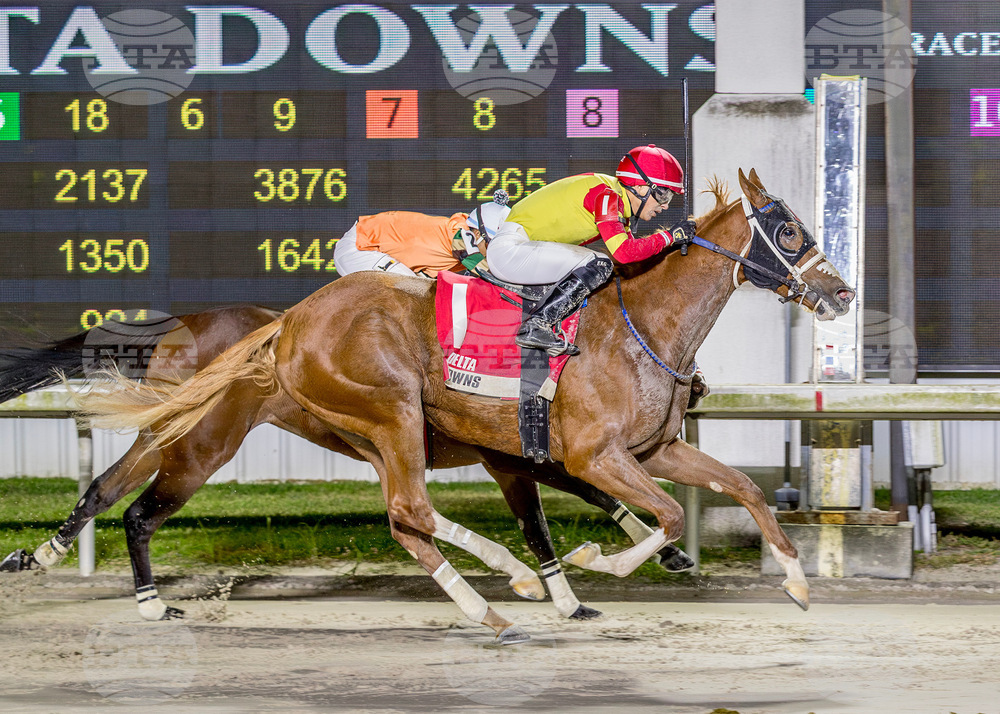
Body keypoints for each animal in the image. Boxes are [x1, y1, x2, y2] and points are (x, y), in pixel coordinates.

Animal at [0, 305, 694, 625]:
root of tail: (176, 328)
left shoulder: (518, 456)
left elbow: (584, 498)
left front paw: (655, 556)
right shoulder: (511, 457)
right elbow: (561, 509)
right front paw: (582, 583)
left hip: (166, 427)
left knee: (104, 488)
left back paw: (44, 556)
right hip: (203, 444)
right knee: (142, 510)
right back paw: (146, 601)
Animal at [81, 169, 856, 642]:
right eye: (790, 232)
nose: (842, 293)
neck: (643, 324)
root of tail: (291, 322)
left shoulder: (650, 449)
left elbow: (743, 487)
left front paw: (795, 579)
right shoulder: (593, 455)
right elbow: (660, 515)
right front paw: (598, 563)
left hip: (372, 432)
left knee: (406, 519)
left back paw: (491, 602)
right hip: (378, 412)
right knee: (411, 510)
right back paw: (502, 587)